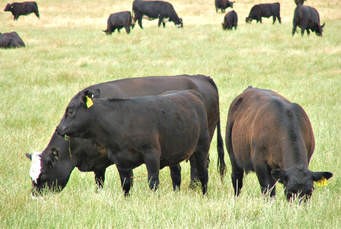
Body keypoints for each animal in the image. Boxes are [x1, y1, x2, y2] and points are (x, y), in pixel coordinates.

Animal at [56, 90, 209, 195]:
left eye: (70, 111)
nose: (58, 129)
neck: (122, 123)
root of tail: (192, 93)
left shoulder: (152, 154)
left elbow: (153, 182)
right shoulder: (120, 161)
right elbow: (126, 185)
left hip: (202, 147)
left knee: (203, 172)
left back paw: (204, 194)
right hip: (173, 152)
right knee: (176, 173)